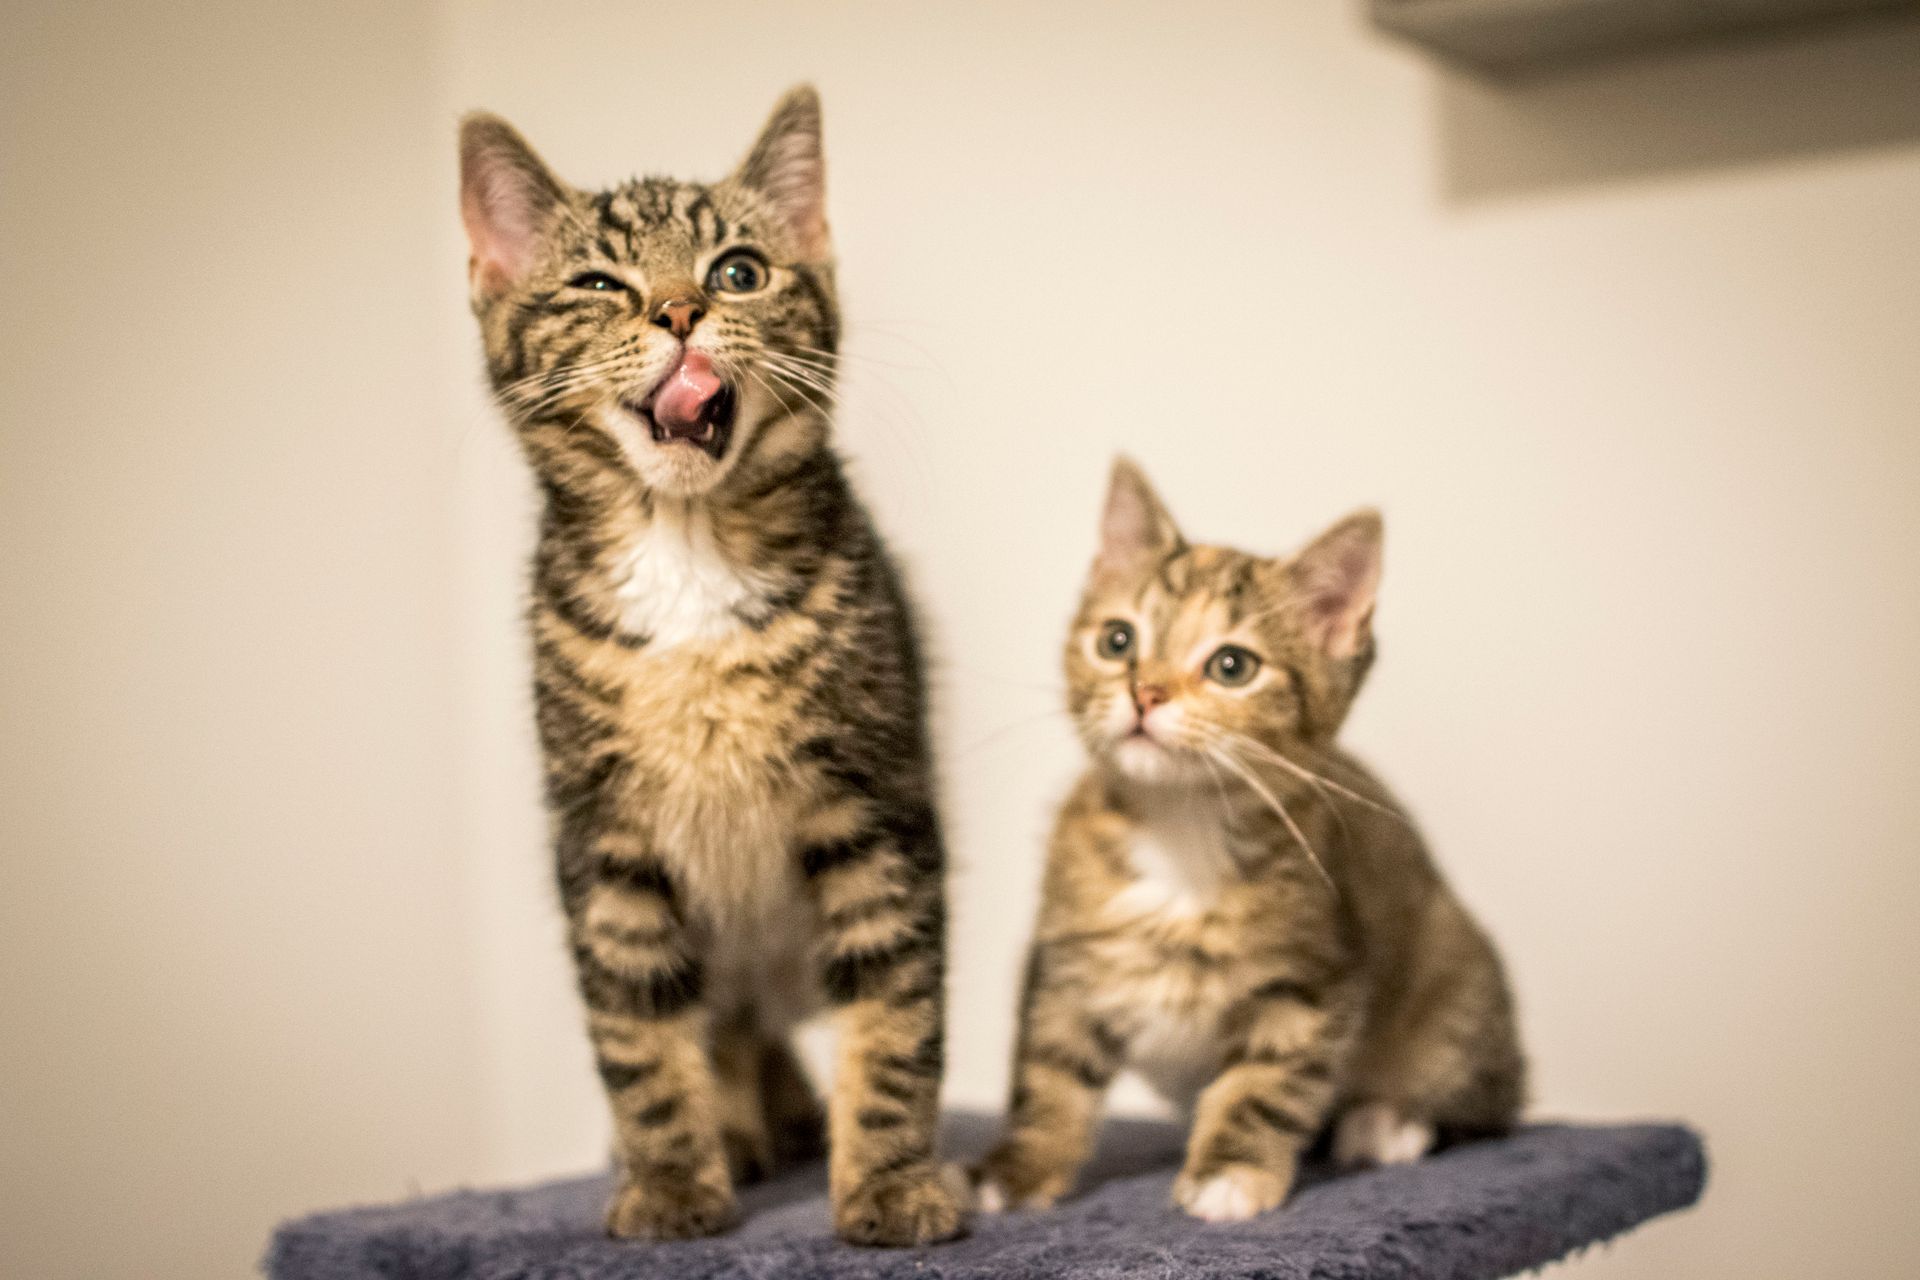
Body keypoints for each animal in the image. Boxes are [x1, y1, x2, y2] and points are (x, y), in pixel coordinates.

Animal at [458, 87, 967, 1243]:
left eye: (738, 270)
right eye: (601, 285)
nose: (682, 311)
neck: (687, 546)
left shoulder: (877, 801)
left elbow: (895, 1007)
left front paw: (888, 1178)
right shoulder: (604, 837)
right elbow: (638, 1032)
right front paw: (672, 1180)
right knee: (720, 1021)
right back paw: (737, 1127)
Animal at [983, 466, 1520, 1228]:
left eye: (1232, 666)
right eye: (1116, 640)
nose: (1145, 692)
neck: (1179, 828)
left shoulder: (1314, 974)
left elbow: (1265, 1084)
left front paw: (1230, 1173)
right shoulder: (1065, 956)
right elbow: (1049, 1066)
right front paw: (1021, 1168)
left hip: (1458, 982)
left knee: (1486, 1106)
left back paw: (1386, 1124)